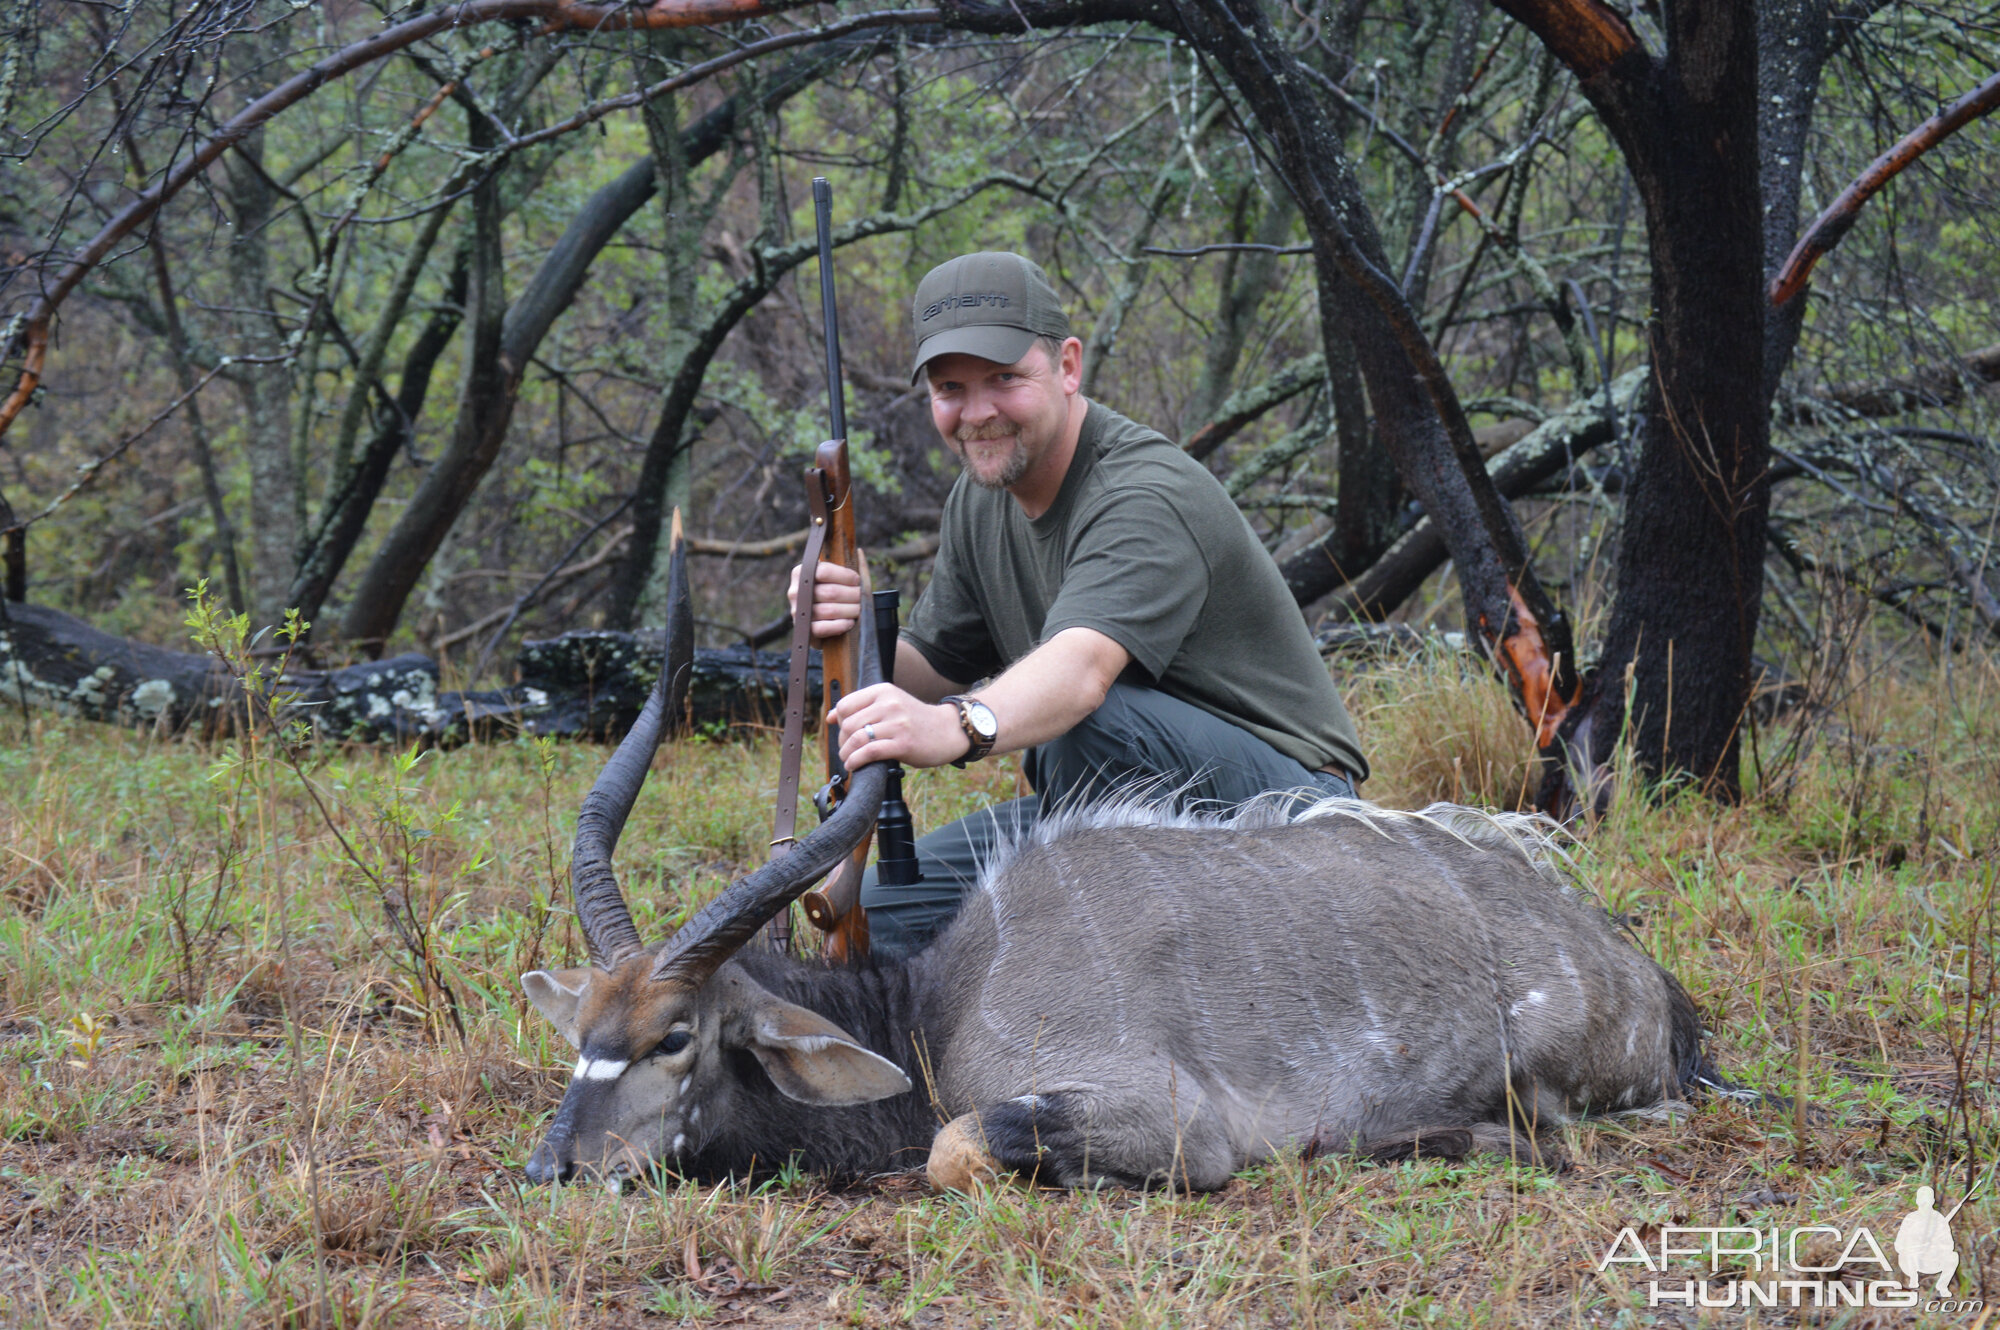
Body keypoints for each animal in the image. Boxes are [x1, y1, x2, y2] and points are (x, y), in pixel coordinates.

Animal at [520, 540, 1720, 1192]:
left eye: (674, 1037)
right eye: (582, 1032)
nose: (553, 1168)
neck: (930, 1007)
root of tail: (1646, 984)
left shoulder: (1158, 1116)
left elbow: (957, 1146)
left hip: (1570, 1087)